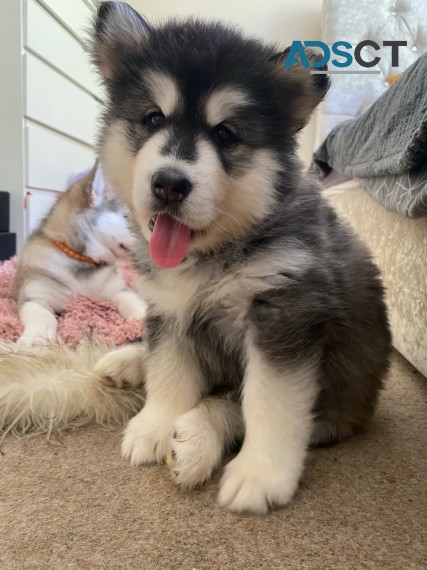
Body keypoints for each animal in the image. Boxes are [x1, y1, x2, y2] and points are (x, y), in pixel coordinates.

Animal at [13, 162, 147, 344]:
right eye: (128, 217)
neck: (83, 260)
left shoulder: (119, 289)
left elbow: (130, 299)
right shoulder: (34, 298)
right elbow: (42, 316)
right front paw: (35, 338)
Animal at [92, 1, 392, 516]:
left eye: (226, 133)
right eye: (152, 119)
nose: (169, 184)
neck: (216, 252)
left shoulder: (284, 313)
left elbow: (266, 402)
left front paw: (260, 473)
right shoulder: (169, 308)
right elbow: (169, 369)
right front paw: (156, 422)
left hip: (340, 400)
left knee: (234, 402)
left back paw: (198, 436)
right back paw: (129, 363)